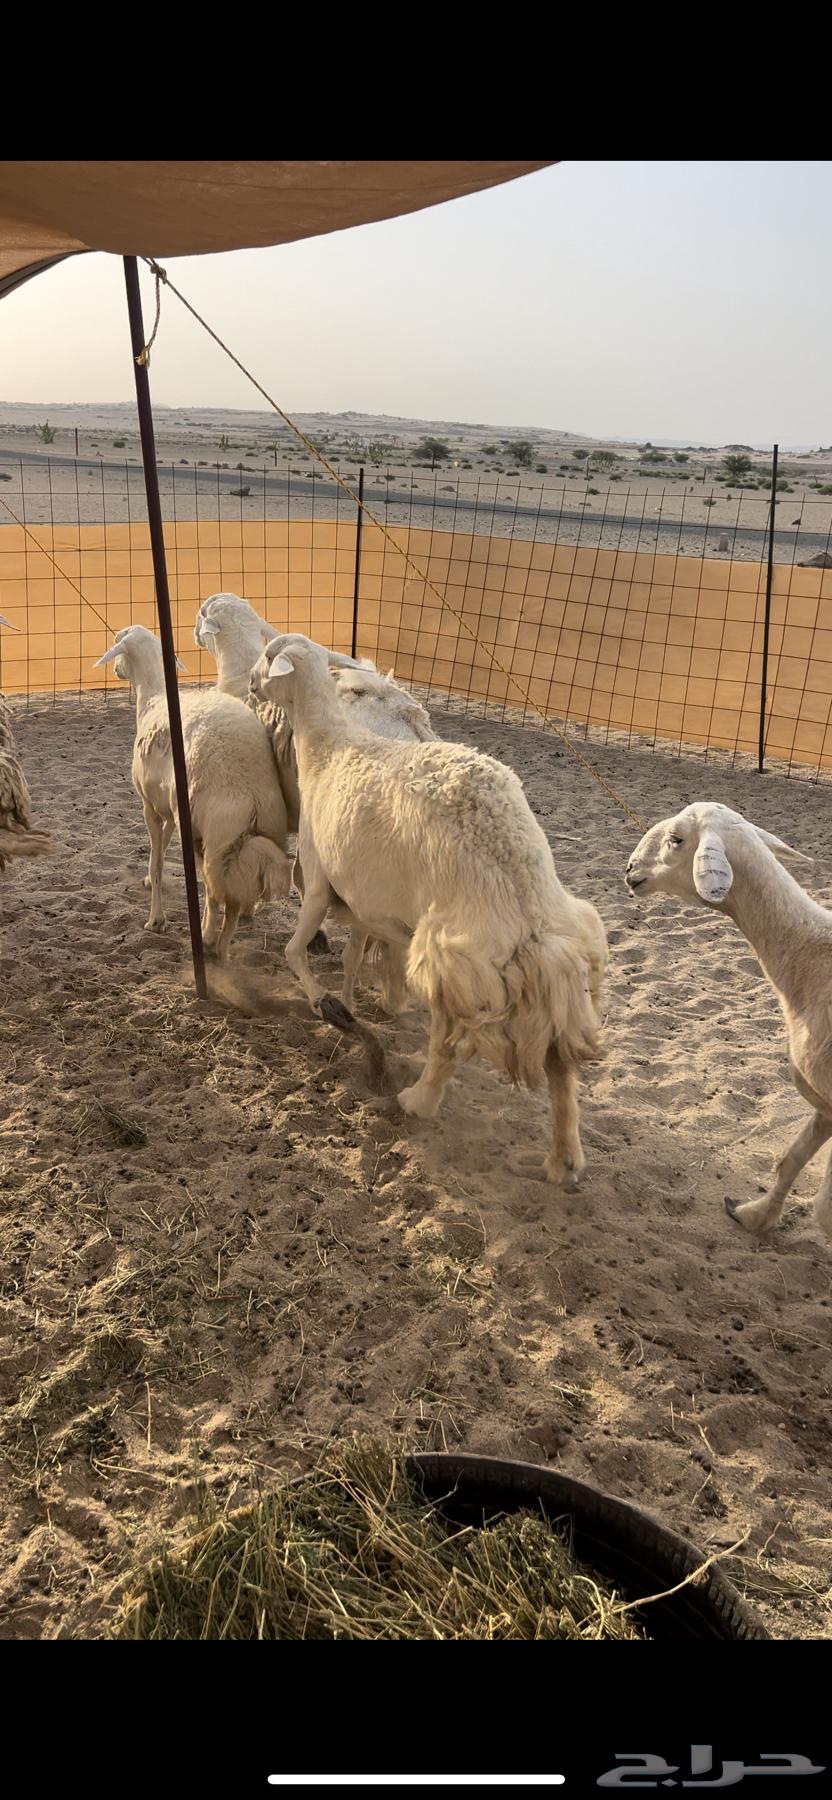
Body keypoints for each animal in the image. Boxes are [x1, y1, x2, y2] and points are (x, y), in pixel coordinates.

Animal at [95, 624, 291, 959]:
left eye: (117, 643)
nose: (117, 671)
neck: (153, 699)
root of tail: (253, 798)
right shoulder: (170, 810)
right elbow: (161, 849)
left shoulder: (149, 806)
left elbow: (157, 862)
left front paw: (156, 919)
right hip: (254, 837)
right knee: (233, 898)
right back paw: (222, 948)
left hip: (214, 840)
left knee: (215, 893)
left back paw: (208, 939)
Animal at [250, 636, 608, 1184]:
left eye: (270, 656)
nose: (249, 683)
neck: (330, 748)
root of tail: (525, 909)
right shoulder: (374, 910)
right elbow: (359, 958)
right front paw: (361, 1005)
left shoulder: (318, 879)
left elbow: (295, 951)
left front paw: (330, 1007)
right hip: (556, 967)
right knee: (560, 1062)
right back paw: (564, 1159)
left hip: (452, 957)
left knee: (447, 1042)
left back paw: (417, 1099)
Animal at [625, 799, 832, 1241]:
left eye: (676, 839)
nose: (630, 869)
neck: (811, 958)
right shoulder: (826, 1103)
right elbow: (790, 1160)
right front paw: (754, 1215)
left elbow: (825, 1210)